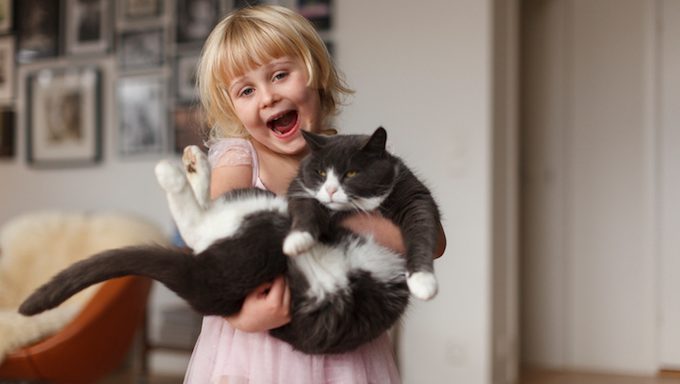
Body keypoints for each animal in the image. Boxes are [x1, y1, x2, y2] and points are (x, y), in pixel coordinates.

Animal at [18, 127, 440, 356]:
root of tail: (200, 279)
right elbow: (306, 211)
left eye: (352, 172)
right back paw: (183, 165)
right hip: (265, 211)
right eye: (321, 173)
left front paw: (422, 281)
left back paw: (185, 167)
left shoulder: (415, 197)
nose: (332, 190)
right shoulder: (298, 192)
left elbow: (425, 230)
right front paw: (301, 237)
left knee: (201, 225)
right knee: (200, 224)